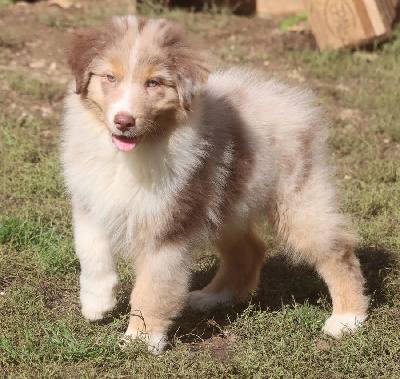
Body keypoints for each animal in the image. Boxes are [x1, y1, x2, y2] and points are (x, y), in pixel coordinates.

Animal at [60, 14, 368, 354]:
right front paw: (96, 302)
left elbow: (152, 287)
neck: (132, 154)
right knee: (251, 250)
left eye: (153, 83)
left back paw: (348, 318)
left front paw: (141, 338)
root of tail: (290, 100)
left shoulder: (169, 230)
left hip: (298, 202)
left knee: (338, 250)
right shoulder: (90, 200)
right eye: (110, 77)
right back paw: (214, 297)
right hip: (224, 204)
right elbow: (90, 250)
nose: (123, 121)